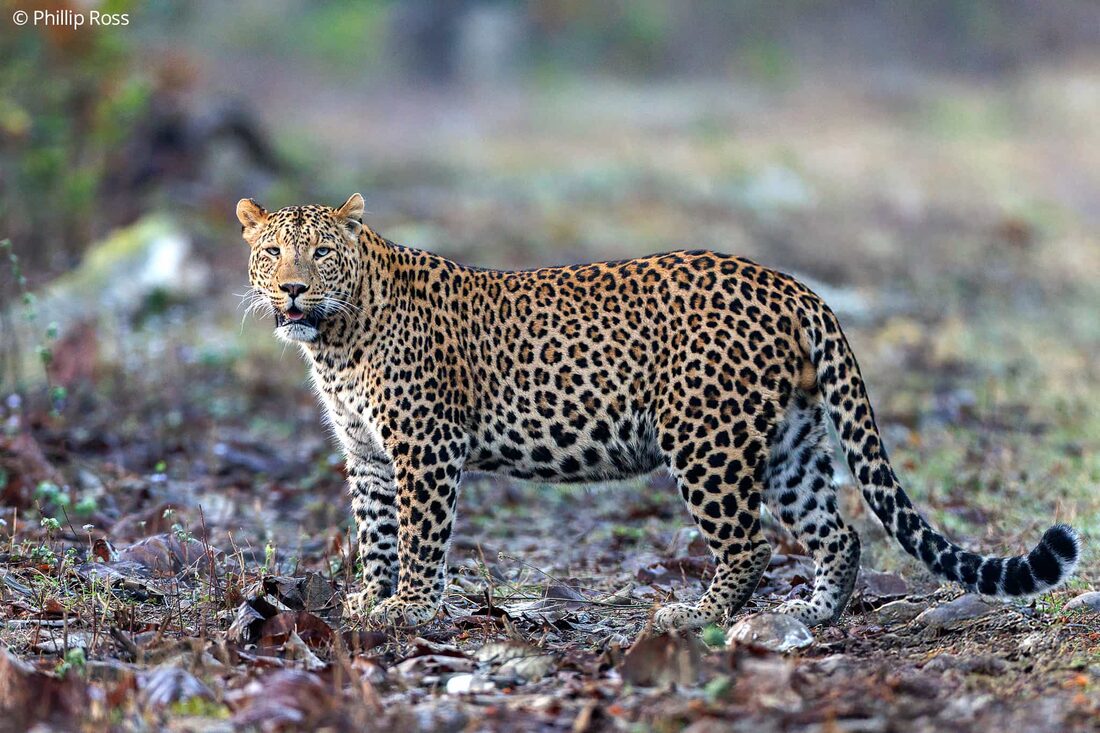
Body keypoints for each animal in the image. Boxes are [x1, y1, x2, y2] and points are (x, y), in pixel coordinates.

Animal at [237, 192, 1081, 630]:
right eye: (272, 252)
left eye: (321, 254)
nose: (293, 290)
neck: (338, 338)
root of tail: (796, 287)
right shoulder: (368, 452)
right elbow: (376, 531)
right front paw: (371, 598)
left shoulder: (425, 446)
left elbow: (419, 534)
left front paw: (409, 607)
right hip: (791, 443)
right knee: (836, 530)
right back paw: (812, 614)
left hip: (705, 438)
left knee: (750, 543)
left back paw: (695, 614)